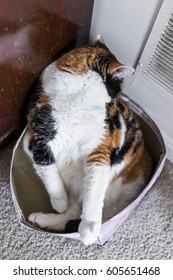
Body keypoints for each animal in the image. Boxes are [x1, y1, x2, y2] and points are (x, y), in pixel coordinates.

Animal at [23, 36, 152, 244]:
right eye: (119, 87)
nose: (117, 99)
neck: (78, 96)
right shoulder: (38, 139)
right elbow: (50, 175)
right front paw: (59, 202)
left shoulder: (99, 151)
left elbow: (93, 193)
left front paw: (90, 229)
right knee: (72, 209)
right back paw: (43, 219)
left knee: (82, 206)